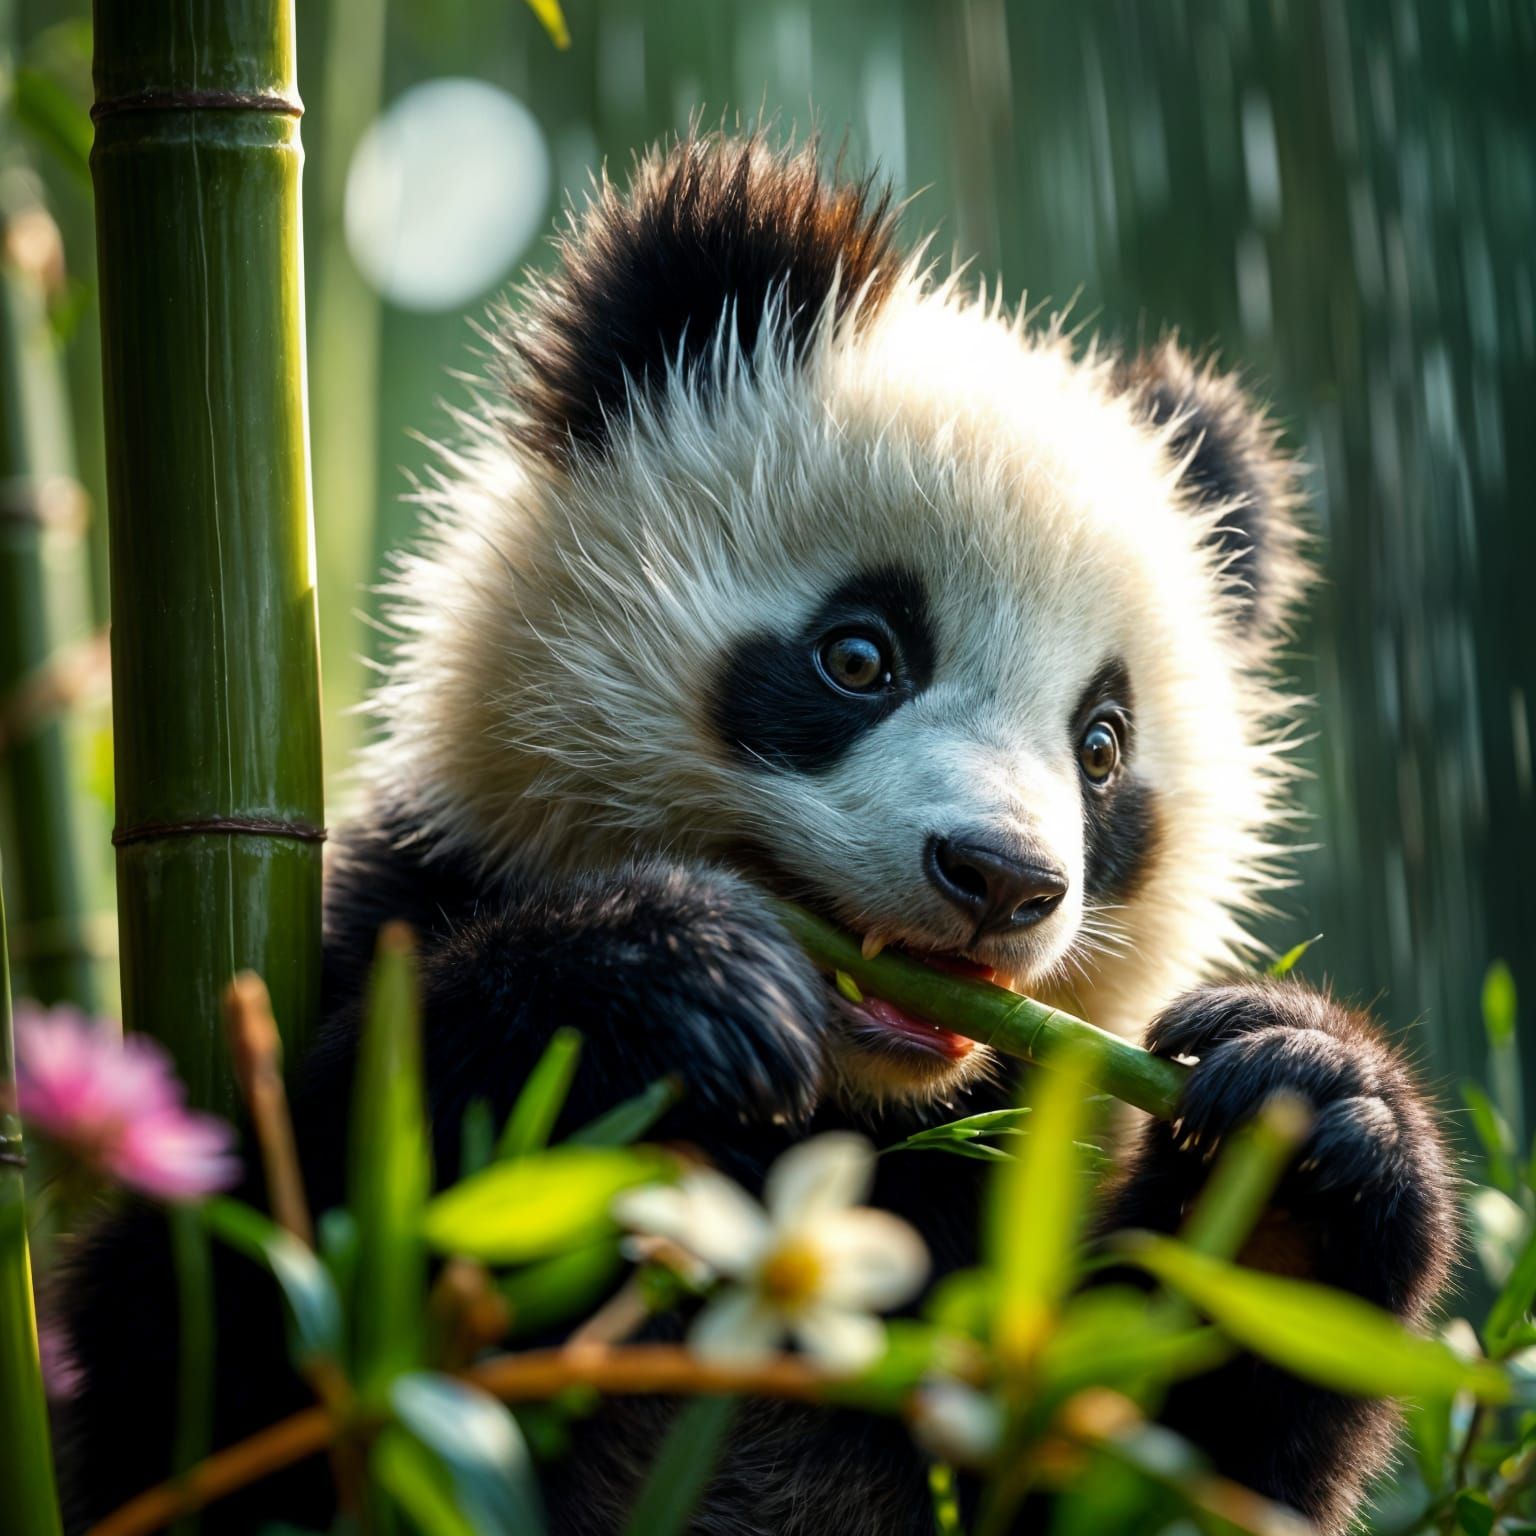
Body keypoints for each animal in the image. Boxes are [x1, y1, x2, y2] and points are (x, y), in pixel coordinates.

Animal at [63, 135, 1455, 1535]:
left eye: (1102, 746)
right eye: (861, 656)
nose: (1001, 880)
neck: (840, 1119)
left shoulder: (1003, 1190)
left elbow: (1164, 1457)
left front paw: (1307, 1117)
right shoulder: (406, 897)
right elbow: (197, 1350)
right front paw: (660, 974)